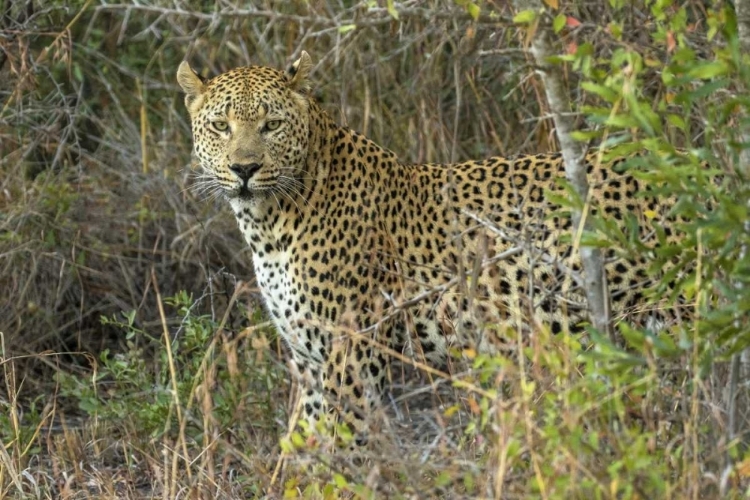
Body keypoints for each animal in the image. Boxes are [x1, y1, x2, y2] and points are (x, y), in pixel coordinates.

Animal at [179, 49, 684, 442]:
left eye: (272, 124)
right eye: (221, 126)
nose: (244, 168)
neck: (268, 225)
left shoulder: (353, 354)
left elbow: (343, 449)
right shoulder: (310, 362)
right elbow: (305, 446)